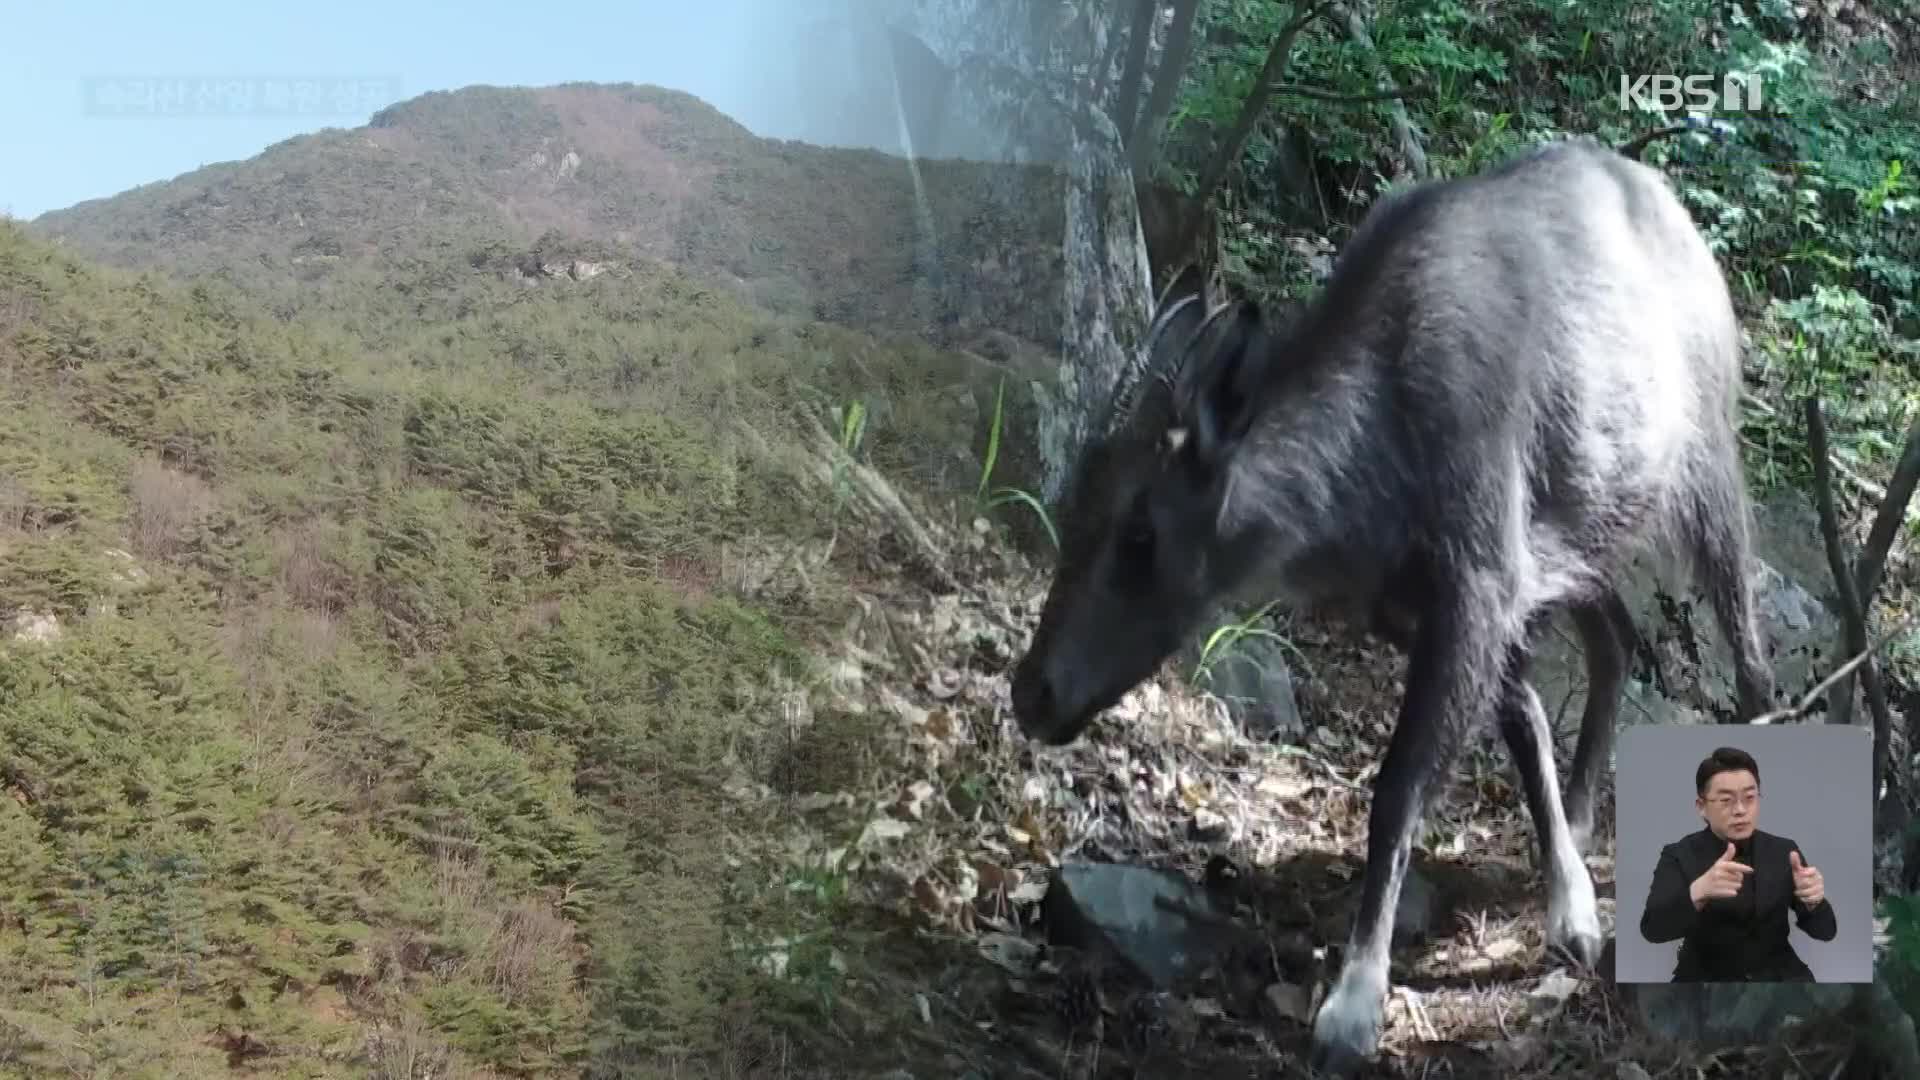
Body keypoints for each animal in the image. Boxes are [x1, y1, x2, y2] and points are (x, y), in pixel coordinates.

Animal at [1013, 136, 1774, 1068]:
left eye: (1140, 533)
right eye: (1076, 497)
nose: (1033, 692)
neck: (1376, 445)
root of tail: (1672, 210)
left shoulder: (1480, 578)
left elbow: (1400, 787)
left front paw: (1354, 1002)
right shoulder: (1441, 600)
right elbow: (1522, 724)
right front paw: (1569, 899)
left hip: (1706, 471)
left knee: (1747, 644)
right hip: (1585, 532)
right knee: (1616, 638)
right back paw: (1588, 819)